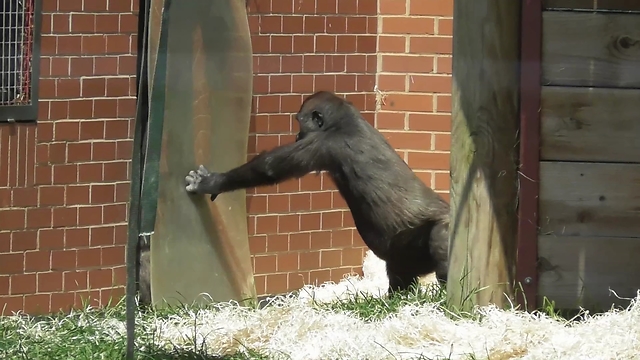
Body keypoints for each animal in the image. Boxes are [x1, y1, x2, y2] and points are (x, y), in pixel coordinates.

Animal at [185, 90, 450, 292]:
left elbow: (268, 169)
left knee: (441, 237)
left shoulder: (323, 143)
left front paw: (213, 182)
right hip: (405, 257)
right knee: (400, 272)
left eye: (300, 123)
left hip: (439, 227)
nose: (296, 135)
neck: (344, 119)